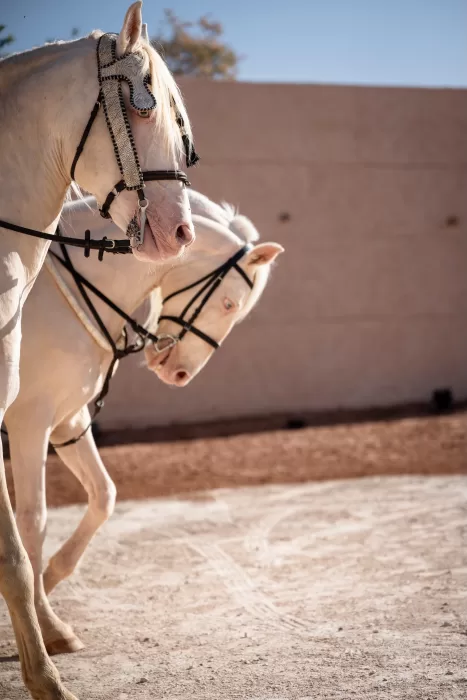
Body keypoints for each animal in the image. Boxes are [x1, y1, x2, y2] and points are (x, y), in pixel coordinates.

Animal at [0, 3, 196, 697]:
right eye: (145, 105)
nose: (180, 231)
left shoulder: (55, 419)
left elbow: (29, 540)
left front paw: (48, 641)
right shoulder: (27, 420)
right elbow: (23, 539)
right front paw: (44, 674)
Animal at [3, 190, 283, 663]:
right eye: (229, 303)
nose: (180, 375)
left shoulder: (68, 421)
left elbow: (104, 496)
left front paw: (52, 578)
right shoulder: (30, 422)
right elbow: (33, 521)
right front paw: (50, 625)